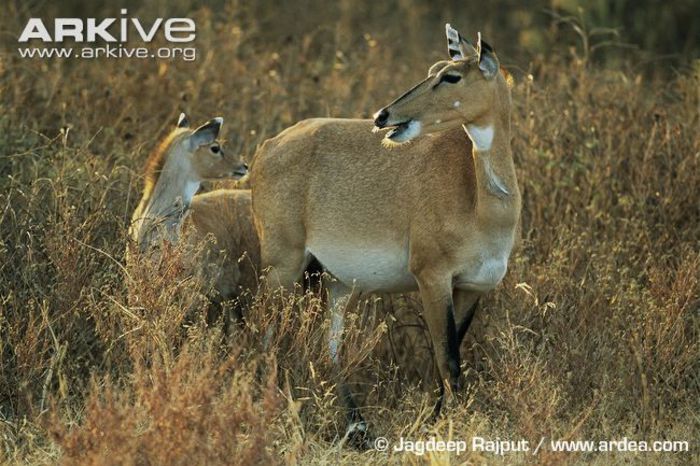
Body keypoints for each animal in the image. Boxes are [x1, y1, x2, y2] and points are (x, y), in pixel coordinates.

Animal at [252, 24, 520, 444]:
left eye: (451, 75)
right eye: (433, 68)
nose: (383, 115)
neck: (481, 201)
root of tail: (266, 147)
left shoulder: (473, 287)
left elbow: (447, 361)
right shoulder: (432, 276)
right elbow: (447, 360)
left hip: (334, 282)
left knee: (327, 347)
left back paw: (356, 425)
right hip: (283, 265)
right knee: (267, 334)